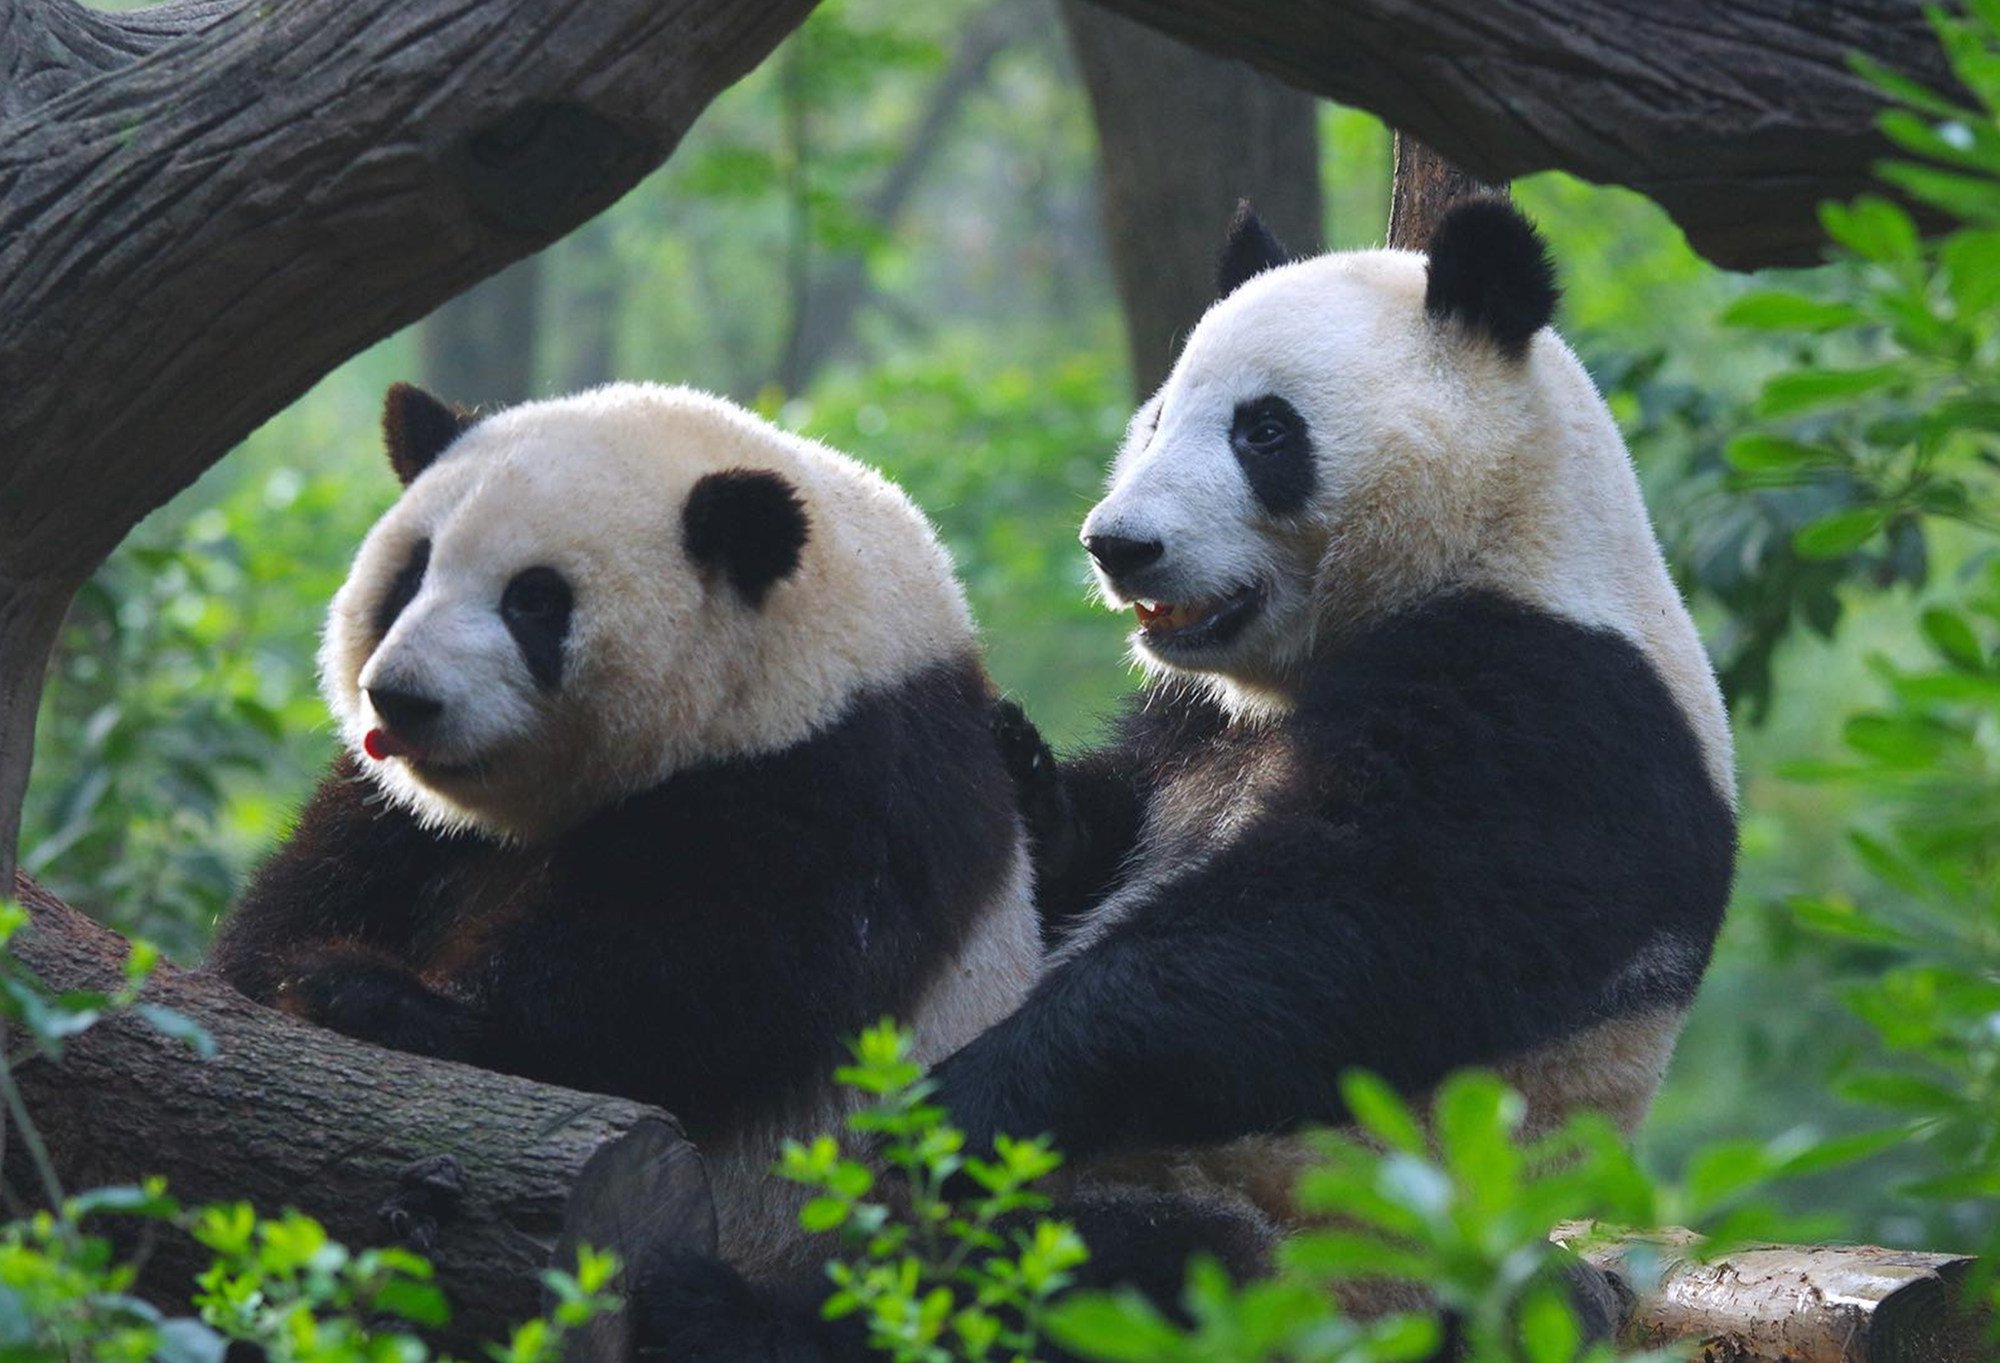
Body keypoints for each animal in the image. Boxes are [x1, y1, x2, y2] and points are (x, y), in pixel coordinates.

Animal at [211, 379, 1040, 1287]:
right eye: (412, 572)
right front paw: (312, 973)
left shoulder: (846, 782)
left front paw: (364, 993)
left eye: (534, 599)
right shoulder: (399, 820)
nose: (402, 698)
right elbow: (293, 905)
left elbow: (679, 992)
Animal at [936, 193, 1736, 1239]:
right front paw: (1021, 771)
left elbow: (1349, 936)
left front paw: (965, 1095)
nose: (1119, 545)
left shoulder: (1555, 708)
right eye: (1159, 420)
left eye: (1265, 432)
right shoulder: (1194, 718)